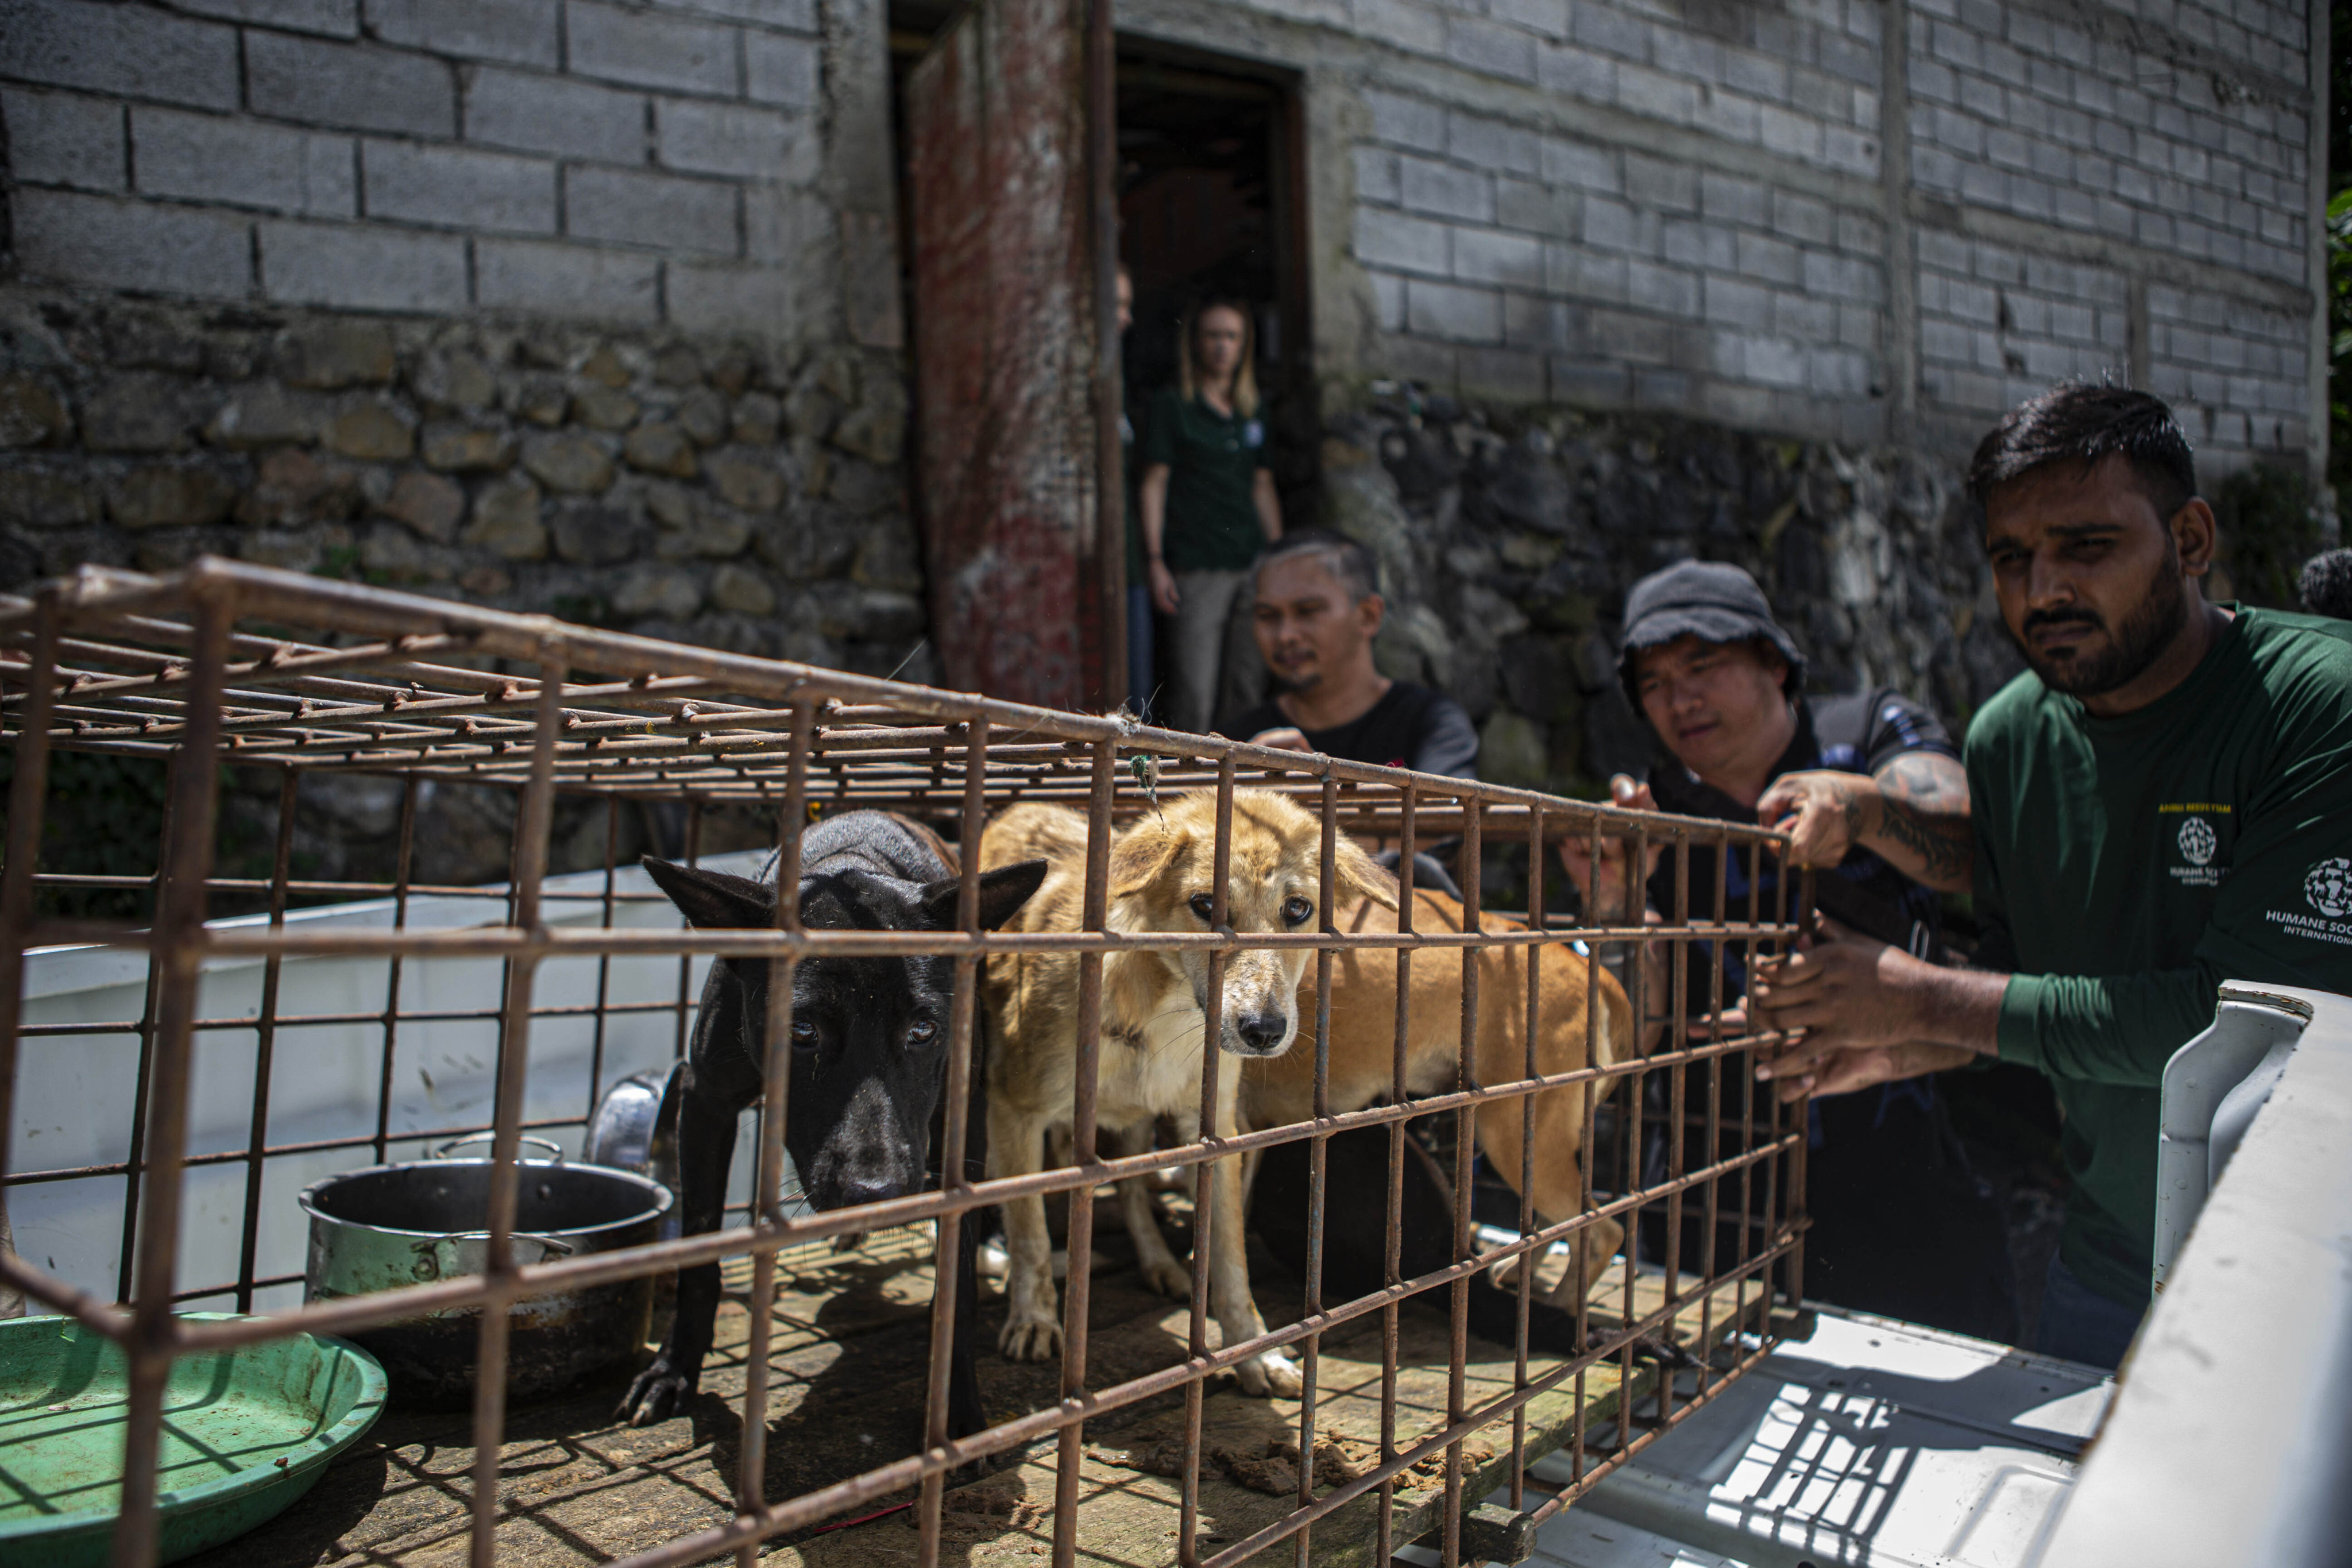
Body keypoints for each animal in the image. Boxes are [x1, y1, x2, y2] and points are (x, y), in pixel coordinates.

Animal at [621, 818, 1044, 1438]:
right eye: (800, 1031)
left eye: (924, 1029)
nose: (875, 1194)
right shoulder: (706, 1104)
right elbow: (699, 1260)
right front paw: (673, 1373)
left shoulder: (959, 1113)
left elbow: (956, 1284)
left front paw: (956, 1411)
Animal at [978, 785, 1392, 1401]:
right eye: (1205, 904)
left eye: (1298, 910)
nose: (1263, 1032)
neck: (1164, 1013)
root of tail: (1020, 808)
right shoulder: (1014, 1108)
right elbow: (1027, 1229)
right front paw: (1032, 1318)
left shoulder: (1215, 1133)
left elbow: (1230, 1260)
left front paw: (1254, 1353)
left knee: (1130, 1189)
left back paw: (1160, 1265)